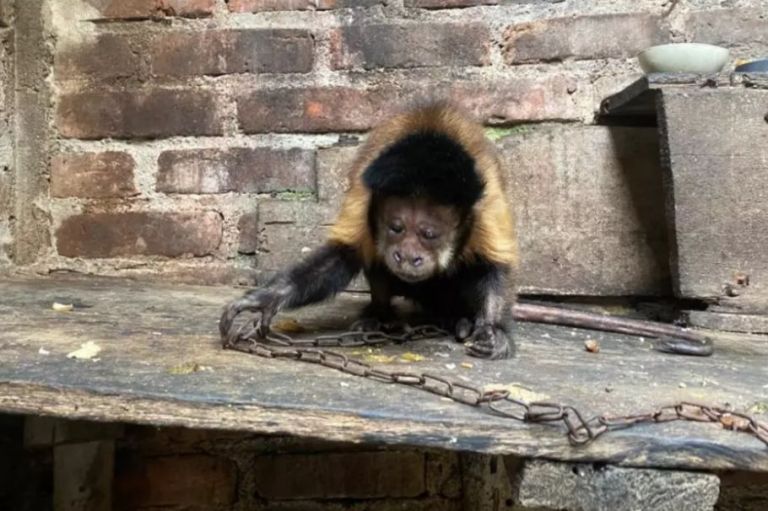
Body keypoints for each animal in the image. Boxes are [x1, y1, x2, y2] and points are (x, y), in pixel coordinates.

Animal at [220, 102, 518, 359]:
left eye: (429, 234)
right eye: (396, 228)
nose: (407, 256)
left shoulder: (486, 204)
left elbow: (494, 266)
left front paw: (493, 330)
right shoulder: (364, 194)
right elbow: (343, 255)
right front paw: (268, 298)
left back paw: (458, 319)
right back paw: (380, 315)